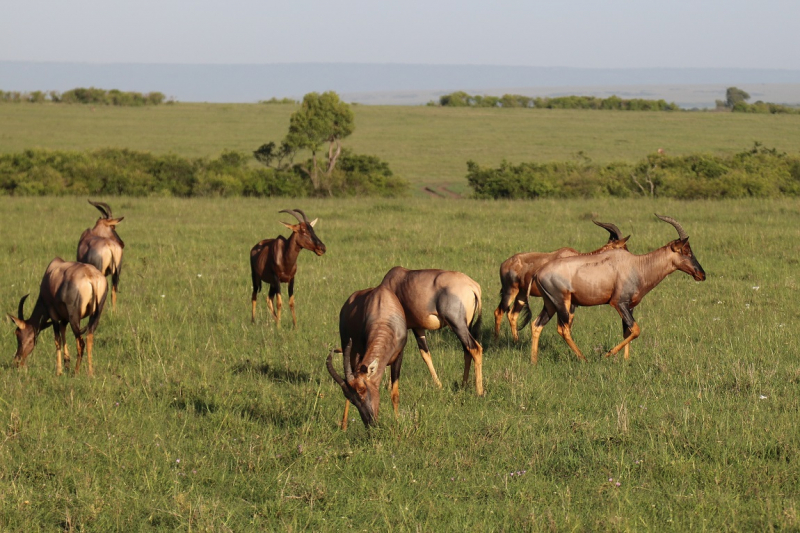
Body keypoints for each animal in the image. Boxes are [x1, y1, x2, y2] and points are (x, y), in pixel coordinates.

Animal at [328, 286, 410, 428]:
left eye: (362, 389)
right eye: (351, 398)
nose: (370, 423)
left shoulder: (399, 356)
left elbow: (395, 394)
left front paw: (397, 422)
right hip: (350, 348)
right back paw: (344, 426)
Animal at [380, 266, 484, 394]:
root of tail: (472, 285)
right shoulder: (417, 327)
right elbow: (425, 354)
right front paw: (439, 385)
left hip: (457, 324)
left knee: (475, 349)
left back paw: (479, 391)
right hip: (466, 325)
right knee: (467, 351)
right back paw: (463, 385)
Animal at [490, 219, 628, 340]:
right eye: (623, 248)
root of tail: (505, 263)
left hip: (522, 295)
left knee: (512, 315)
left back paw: (516, 341)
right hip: (510, 291)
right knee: (499, 312)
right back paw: (496, 341)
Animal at [532, 214, 708, 364]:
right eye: (686, 250)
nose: (702, 274)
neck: (637, 265)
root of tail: (538, 272)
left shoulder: (630, 306)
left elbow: (628, 331)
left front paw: (625, 361)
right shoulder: (619, 303)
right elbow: (636, 329)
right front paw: (608, 354)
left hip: (550, 304)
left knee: (537, 324)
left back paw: (534, 361)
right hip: (563, 303)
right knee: (563, 329)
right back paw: (584, 359)